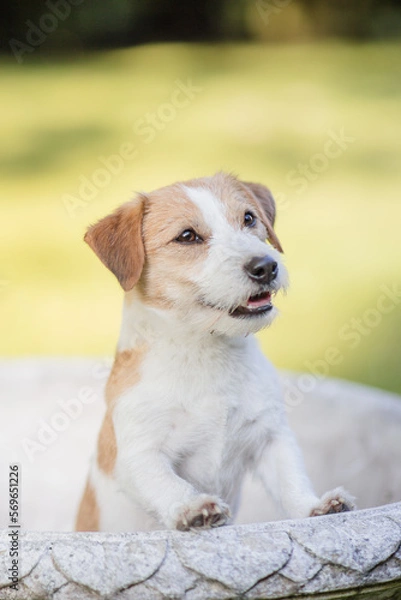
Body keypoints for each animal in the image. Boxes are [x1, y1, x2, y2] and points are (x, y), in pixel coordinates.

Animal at [76, 171, 354, 532]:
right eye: (187, 236)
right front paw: (193, 507)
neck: (205, 351)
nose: (266, 266)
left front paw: (314, 507)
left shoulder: (271, 436)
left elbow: (291, 479)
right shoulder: (139, 455)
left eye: (248, 218)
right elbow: (168, 483)